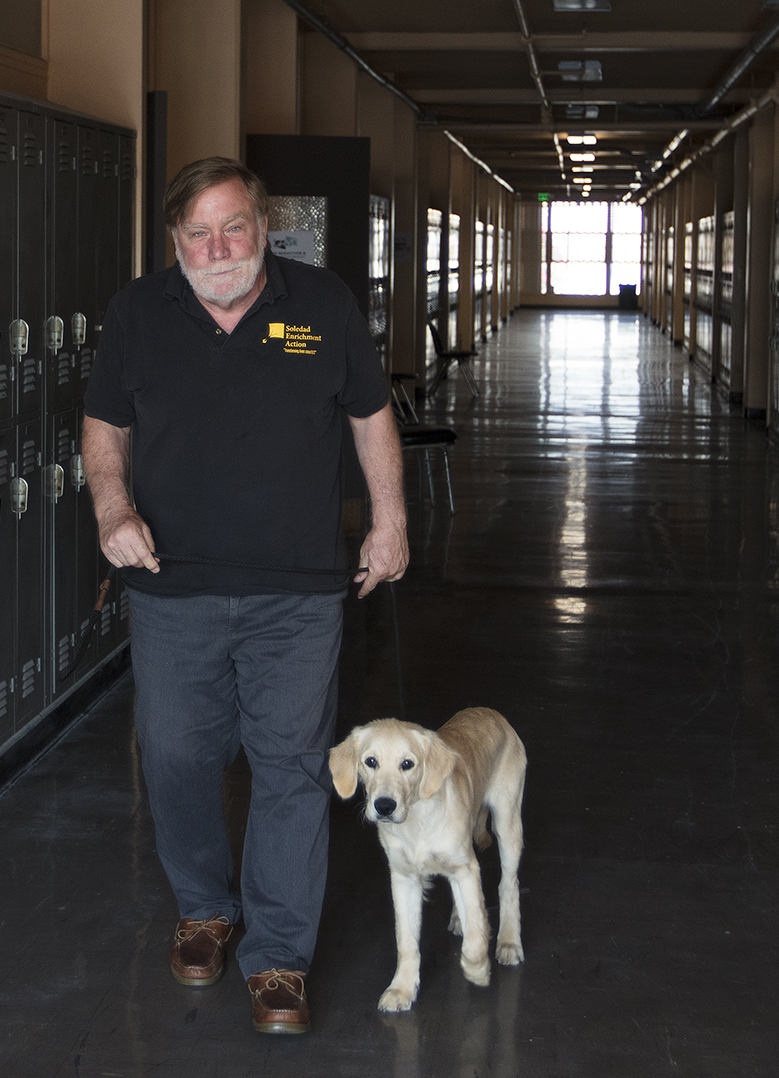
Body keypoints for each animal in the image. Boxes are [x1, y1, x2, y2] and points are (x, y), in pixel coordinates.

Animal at [331, 707, 527, 1009]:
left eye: (407, 764)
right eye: (371, 762)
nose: (384, 806)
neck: (417, 820)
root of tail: (489, 711)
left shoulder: (465, 868)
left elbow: (475, 938)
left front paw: (478, 969)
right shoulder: (404, 878)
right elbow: (406, 942)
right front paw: (402, 988)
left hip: (508, 823)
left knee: (508, 884)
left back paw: (508, 941)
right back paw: (460, 918)